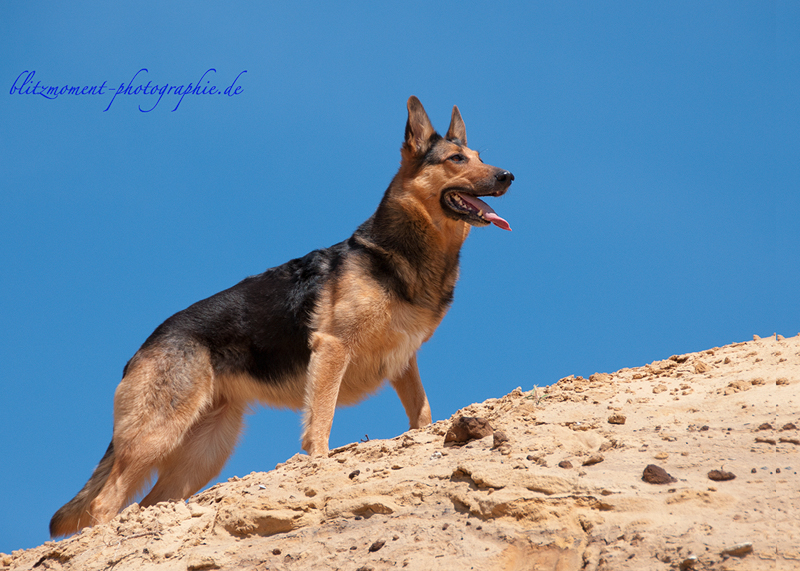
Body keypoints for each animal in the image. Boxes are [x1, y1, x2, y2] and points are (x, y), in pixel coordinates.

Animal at [51, 96, 512, 540]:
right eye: (456, 159)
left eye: (478, 155)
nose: (508, 176)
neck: (402, 251)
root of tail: (142, 347)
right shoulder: (333, 350)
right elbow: (321, 421)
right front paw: (319, 461)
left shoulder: (403, 362)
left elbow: (422, 414)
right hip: (159, 434)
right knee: (103, 504)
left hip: (203, 453)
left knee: (149, 503)